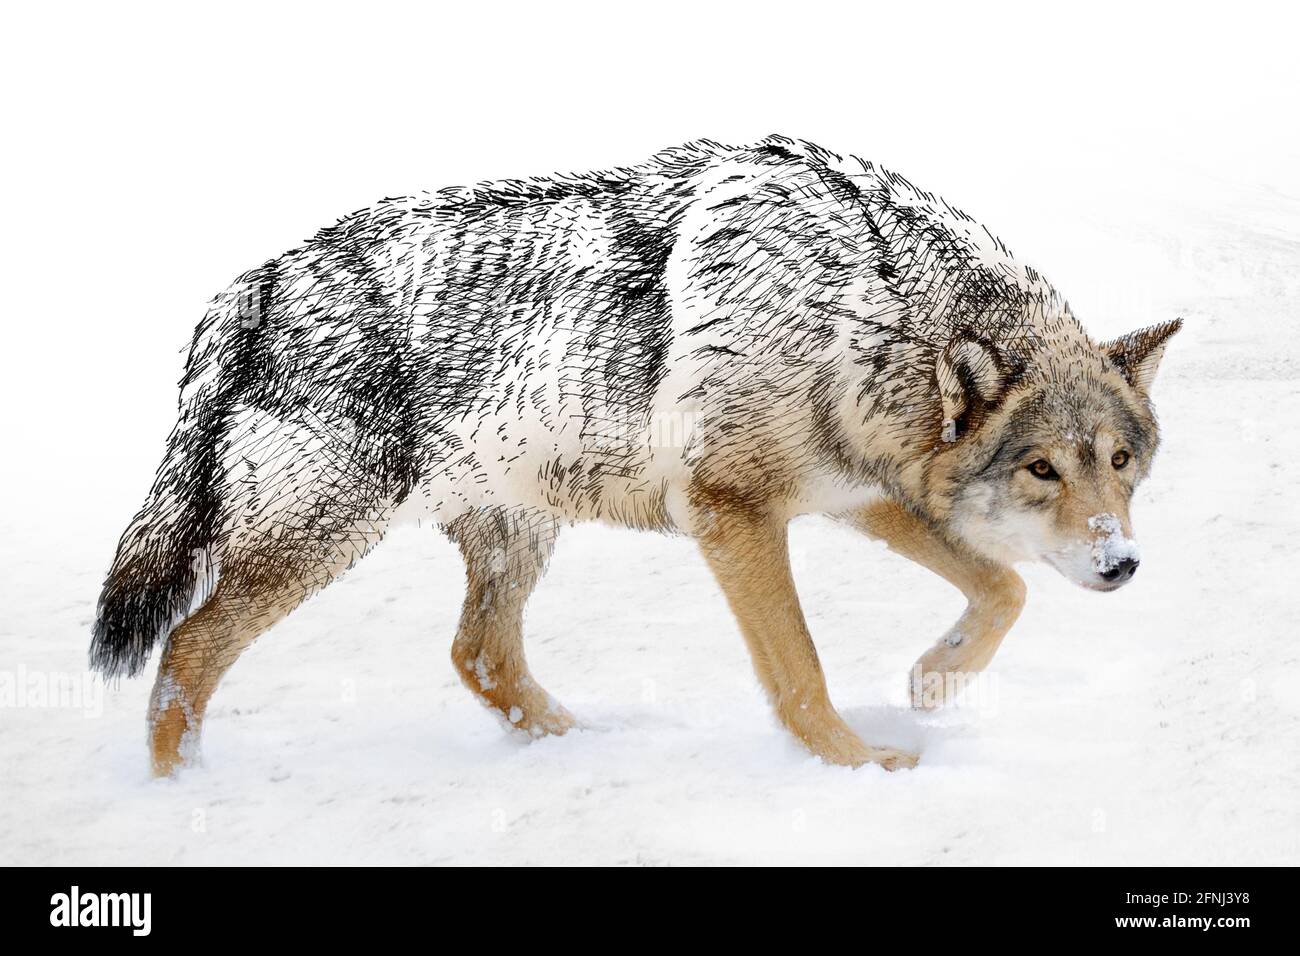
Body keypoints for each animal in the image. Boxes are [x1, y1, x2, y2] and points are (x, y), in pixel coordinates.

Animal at [91, 135, 1180, 775]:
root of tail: (248, 285)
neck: (862, 307)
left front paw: (932, 684)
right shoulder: (732, 512)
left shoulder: (854, 493)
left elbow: (1004, 588)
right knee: (186, 652)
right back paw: (179, 794)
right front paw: (860, 764)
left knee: (478, 654)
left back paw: (586, 748)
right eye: (1042, 469)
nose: (1124, 563)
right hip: (320, 543)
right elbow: (800, 668)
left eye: (1120, 462)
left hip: (512, 536)